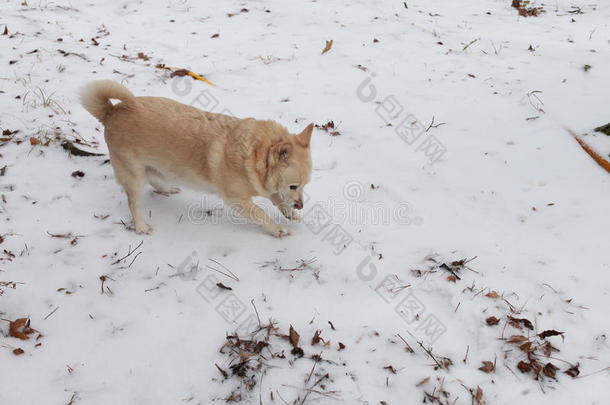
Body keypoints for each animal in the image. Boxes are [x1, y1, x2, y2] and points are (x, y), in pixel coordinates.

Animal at [78, 80, 312, 235]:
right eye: (294, 186)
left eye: (304, 185)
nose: (300, 206)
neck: (255, 153)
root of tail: (111, 111)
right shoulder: (237, 199)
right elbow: (261, 213)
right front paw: (277, 229)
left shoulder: (267, 186)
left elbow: (276, 197)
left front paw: (288, 213)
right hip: (133, 175)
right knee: (133, 203)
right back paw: (141, 226)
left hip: (153, 166)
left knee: (154, 179)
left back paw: (166, 189)